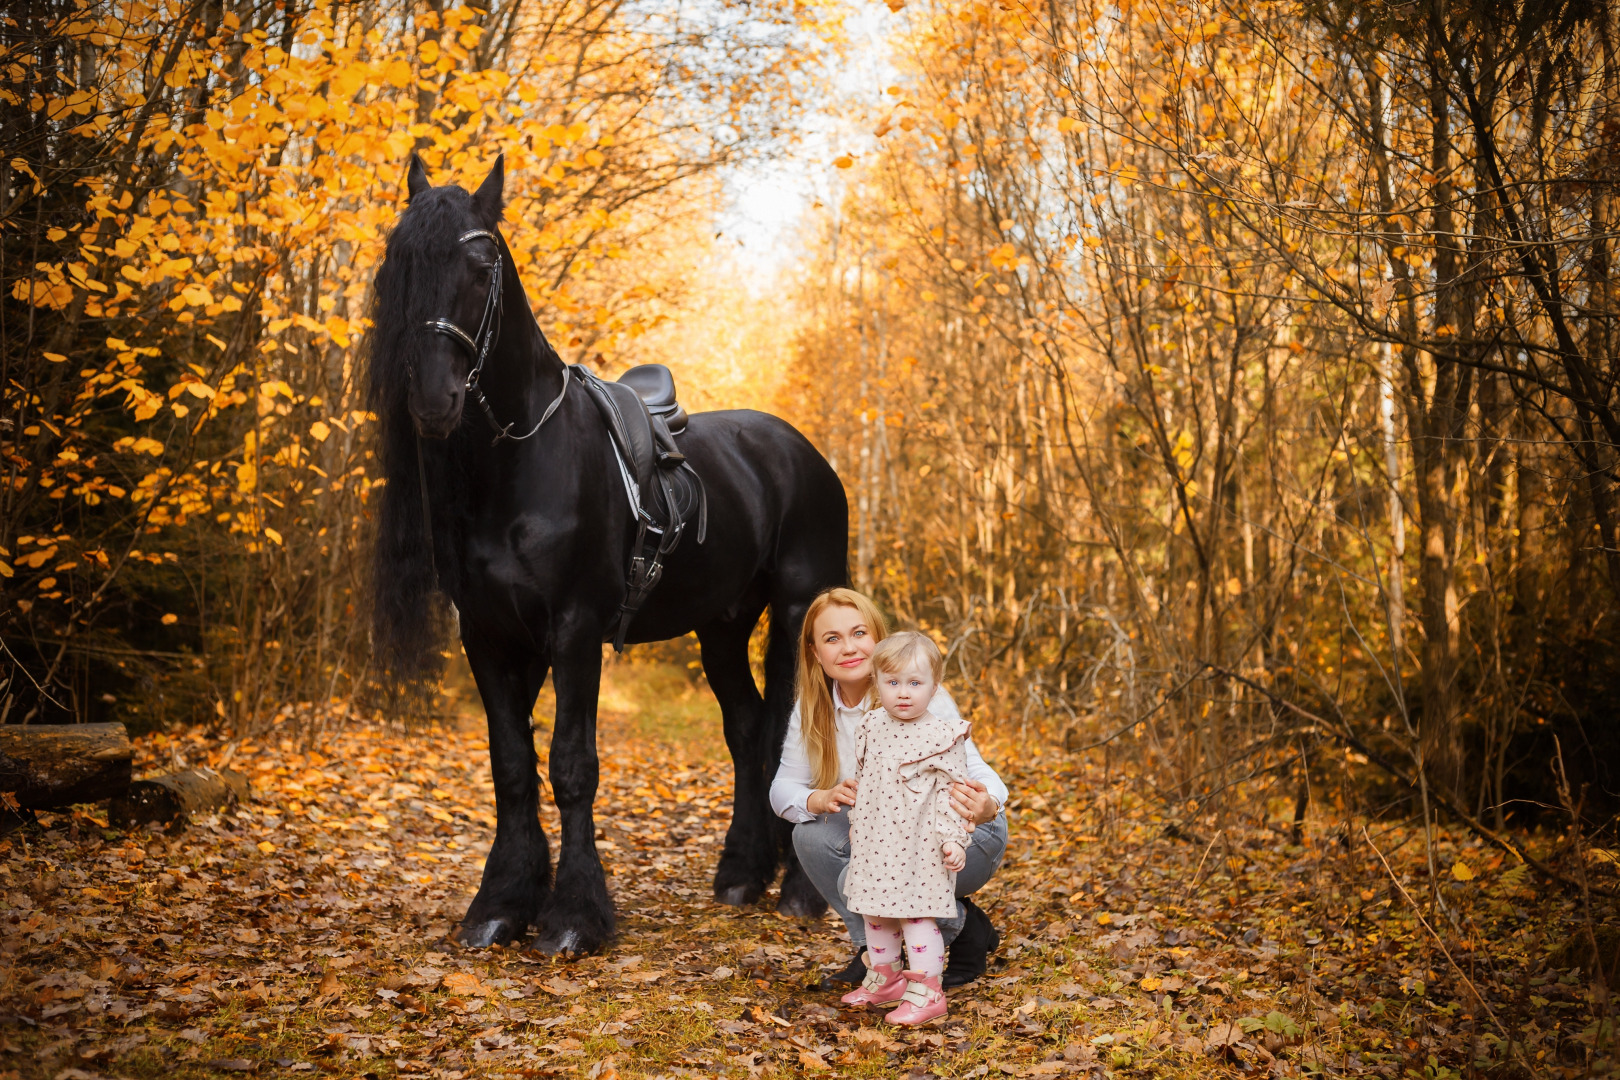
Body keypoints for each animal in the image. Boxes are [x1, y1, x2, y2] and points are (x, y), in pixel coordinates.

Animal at [367, 153, 848, 952]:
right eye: (396, 265)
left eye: (482, 264)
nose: (432, 401)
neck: (520, 463)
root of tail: (802, 453)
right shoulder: (489, 635)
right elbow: (512, 765)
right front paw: (501, 903)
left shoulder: (575, 629)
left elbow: (571, 765)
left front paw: (573, 916)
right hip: (722, 626)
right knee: (748, 728)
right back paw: (743, 873)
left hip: (801, 608)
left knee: (794, 731)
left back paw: (801, 893)